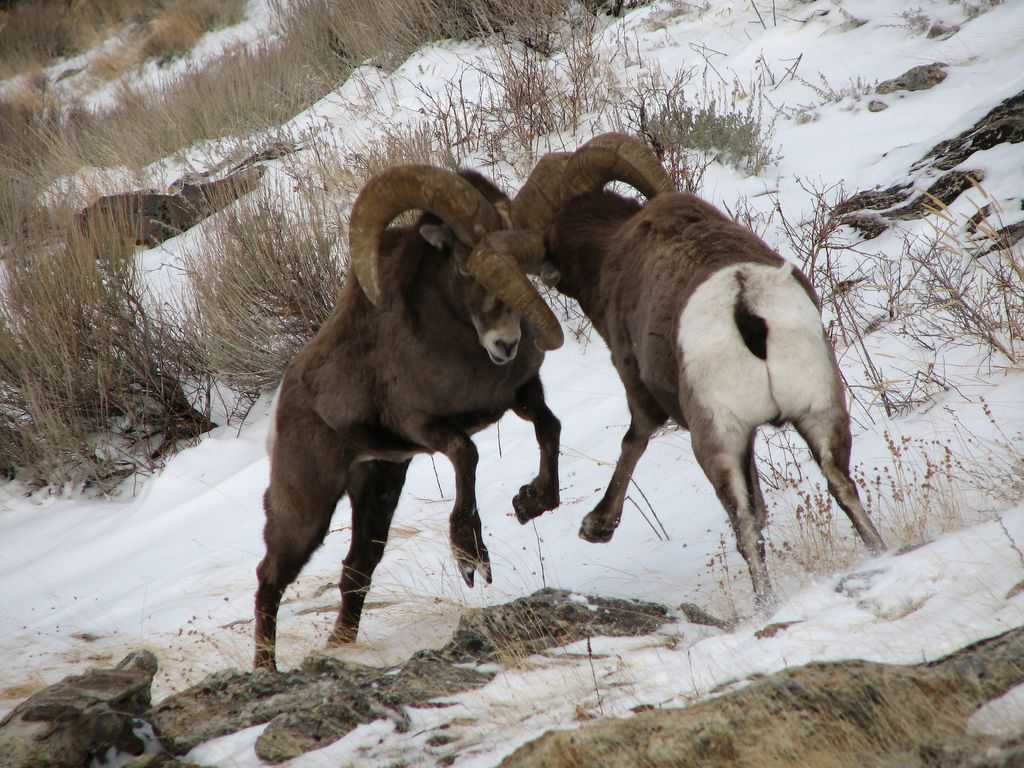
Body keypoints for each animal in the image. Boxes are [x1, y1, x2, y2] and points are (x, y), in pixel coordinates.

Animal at [251, 165, 565, 671]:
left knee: (356, 569)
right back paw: (267, 670)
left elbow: (549, 428)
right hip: (307, 510)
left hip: (378, 487)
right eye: (463, 265)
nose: (506, 344)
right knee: (270, 577)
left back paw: (340, 645)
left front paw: (531, 502)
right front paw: (470, 560)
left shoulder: (521, 395)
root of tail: (284, 399)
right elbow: (467, 453)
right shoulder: (423, 427)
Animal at [505, 135, 888, 610]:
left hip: (715, 442)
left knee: (744, 523)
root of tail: (745, 303)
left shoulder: (636, 382)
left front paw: (596, 526)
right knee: (841, 486)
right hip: (820, 413)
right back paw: (878, 553)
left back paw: (764, 604)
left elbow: (634, 439)